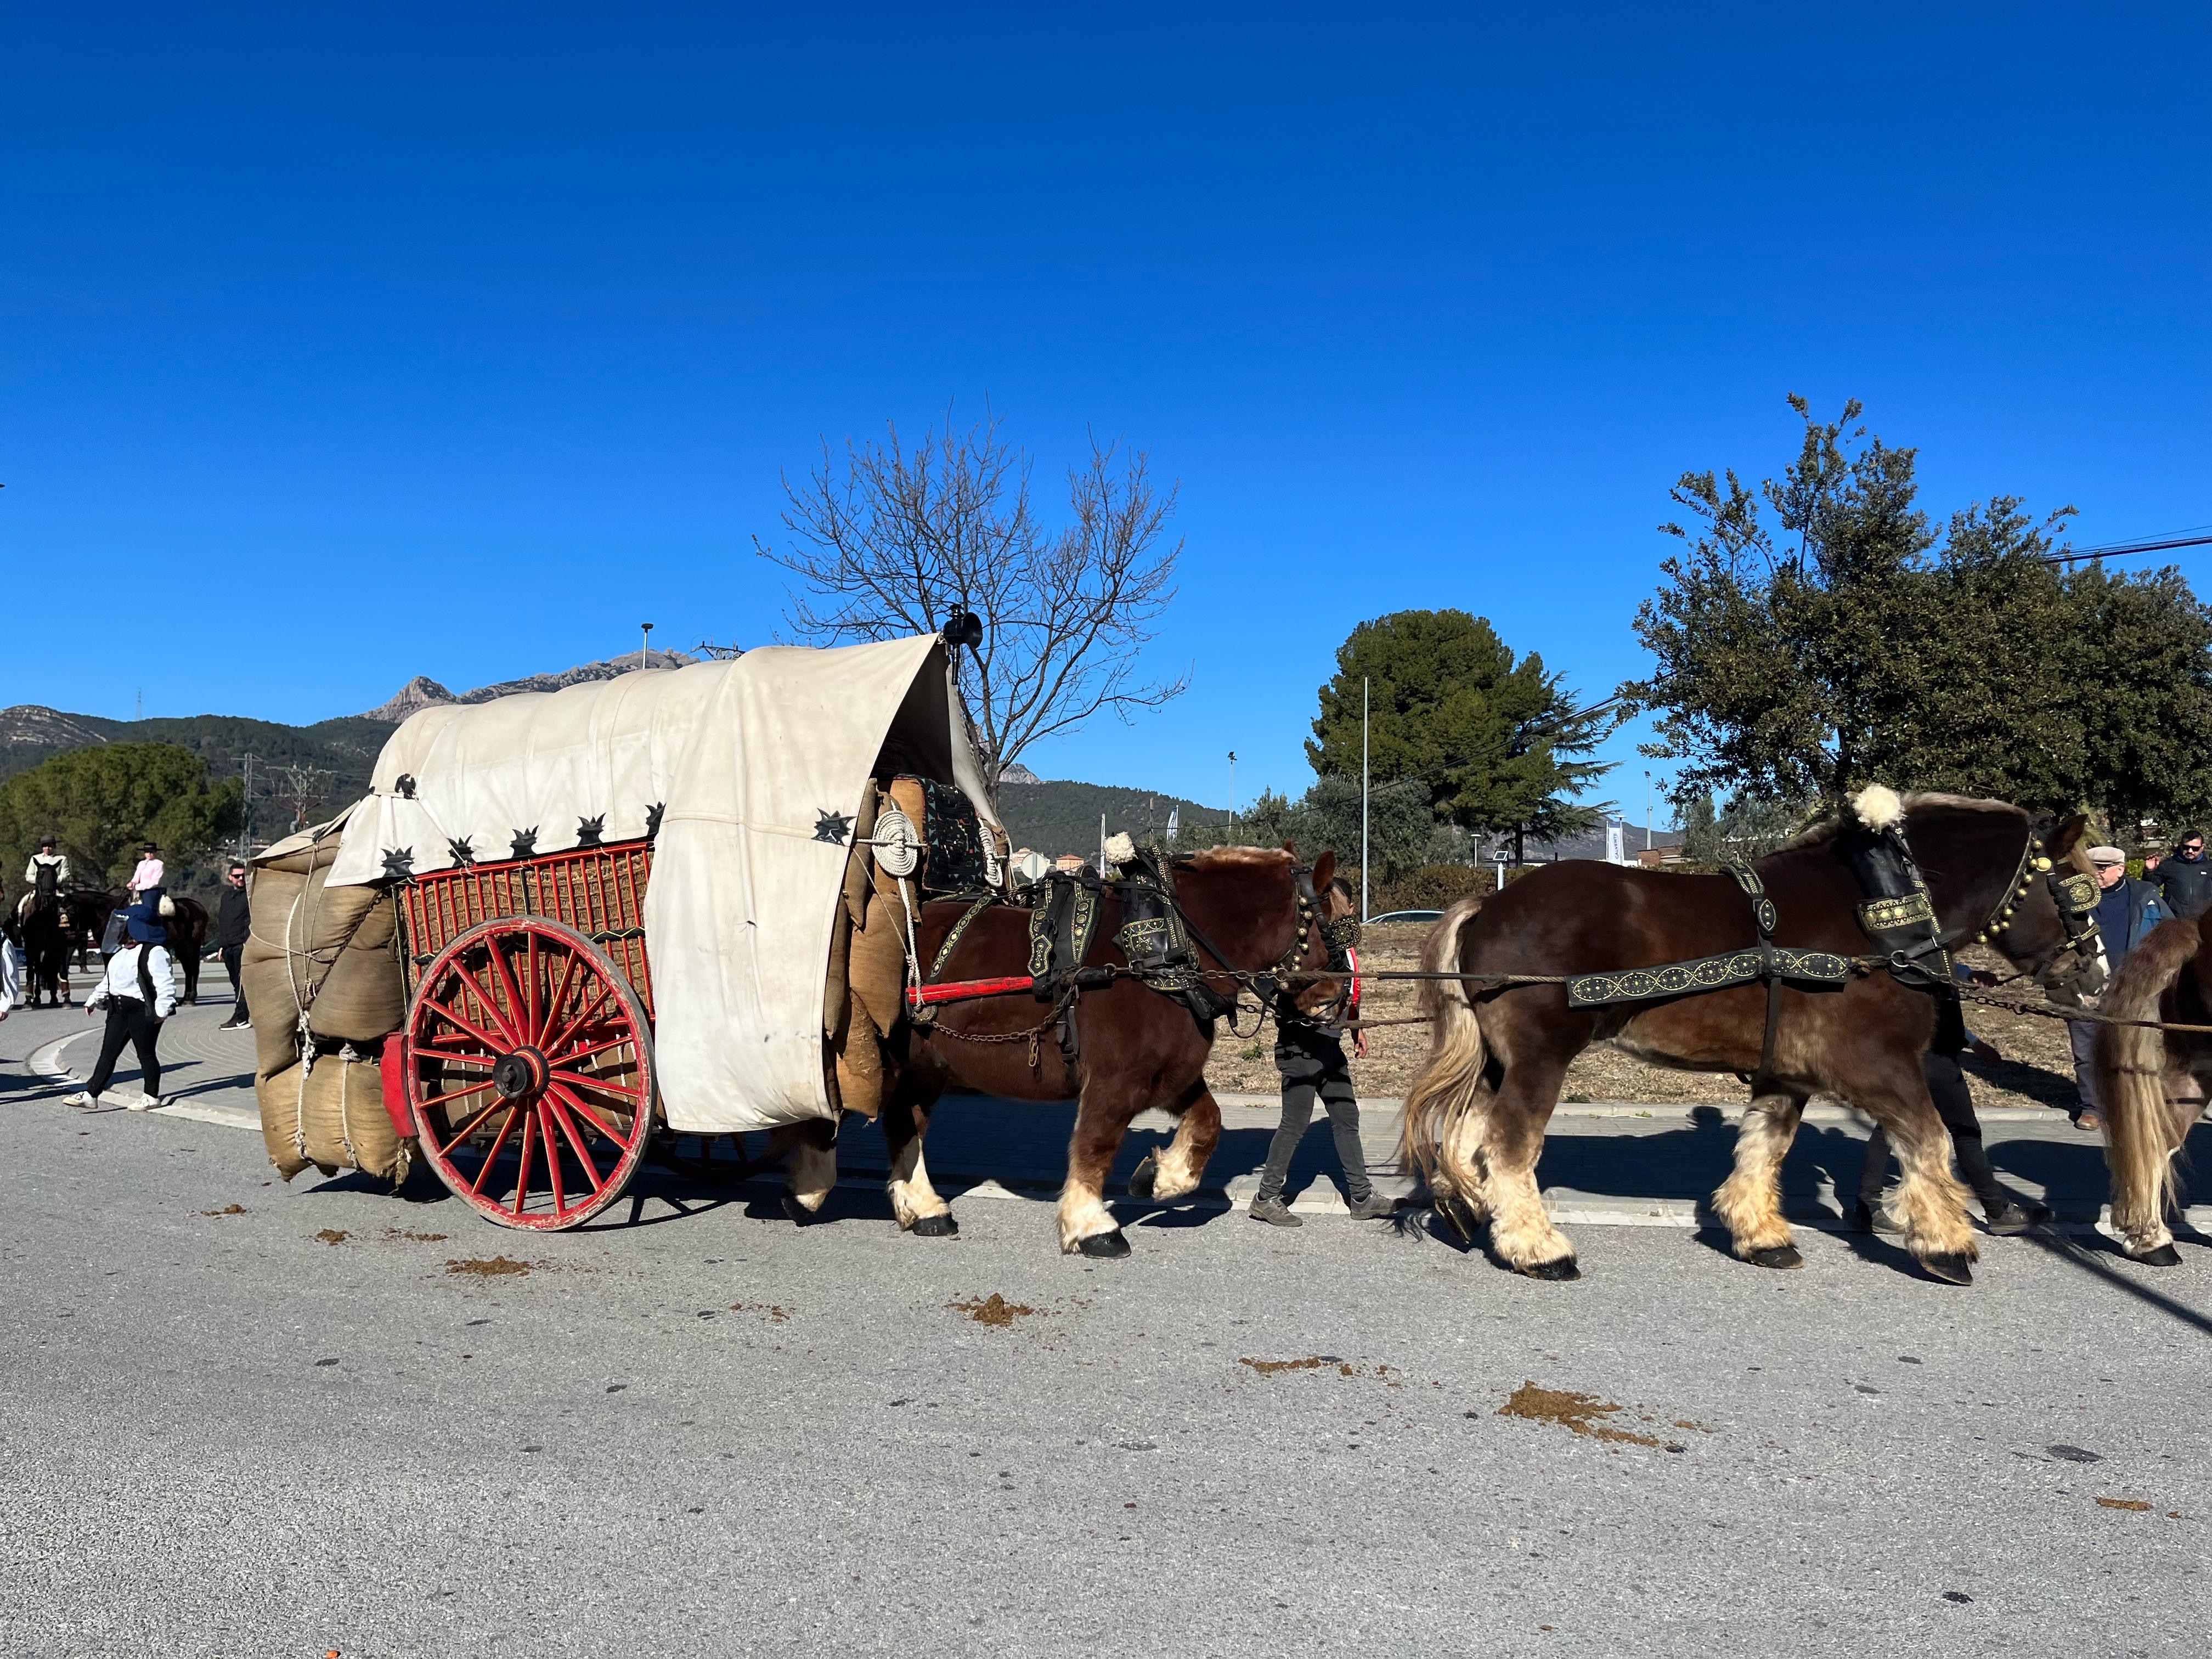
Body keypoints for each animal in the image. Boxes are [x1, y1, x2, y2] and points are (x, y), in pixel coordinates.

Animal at [832, 849, 1345, 1256]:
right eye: (1334, 927)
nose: (1335, 1000)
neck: (1162, 950)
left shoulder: (1169, 1075)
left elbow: (1209, 1121)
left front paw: (1162, 1177)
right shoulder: (1116, 1081)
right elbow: (1096, 1145)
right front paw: (1092, 1224)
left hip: (925, 1068)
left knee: (905, 1123)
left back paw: (924, 1208)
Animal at [1398, 792, 2088, 1283]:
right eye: (2076, 887)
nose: (2089, 969)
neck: (1880, 907)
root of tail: (1491, 905)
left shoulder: (1787, 1072)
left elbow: (1766, 1144)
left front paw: (1760, 1233)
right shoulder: (1879, 1065)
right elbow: (1930, 1138)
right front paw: (1946, 1244)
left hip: (1500, 1060)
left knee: (1469, 1127)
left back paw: (1468, 1208)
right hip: (1541, 1057)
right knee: (1509, 1142)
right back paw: (1538, 1248)